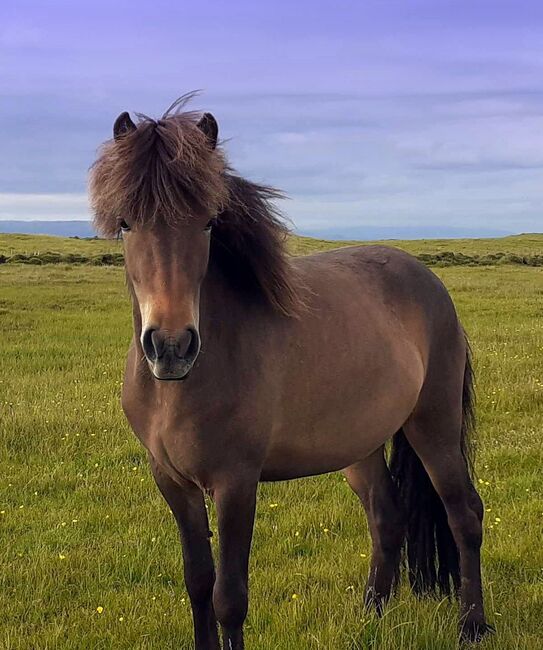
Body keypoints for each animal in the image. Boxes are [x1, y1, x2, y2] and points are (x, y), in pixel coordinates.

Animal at [88, 93, 492, 644]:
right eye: (127, 223)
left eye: (208, 222)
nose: (171, 347)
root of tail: (429, 282)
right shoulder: (172, 482)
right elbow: (198, 583)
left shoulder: (236, 483)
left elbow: (229, 598)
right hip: (359, 444)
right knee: (387, 517)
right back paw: (371, 615)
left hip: (434, 425)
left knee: (464, 514)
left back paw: (472, 624)